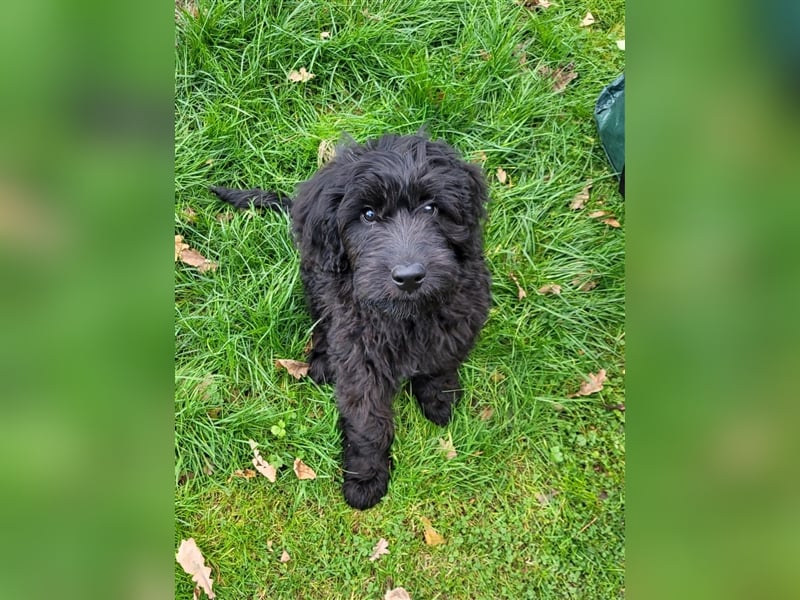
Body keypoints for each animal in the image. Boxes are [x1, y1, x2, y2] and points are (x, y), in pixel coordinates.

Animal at [211, 134, 488, 508]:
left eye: (431, 208)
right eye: (368, 215)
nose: (409, 277)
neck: (406, 315)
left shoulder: (459, 319)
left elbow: (440, 364)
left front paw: (439, 400)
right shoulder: (360, 357)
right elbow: (368, 421)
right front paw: (366, 478)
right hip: (317, 280)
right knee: (321, 322)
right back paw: (322, 362)